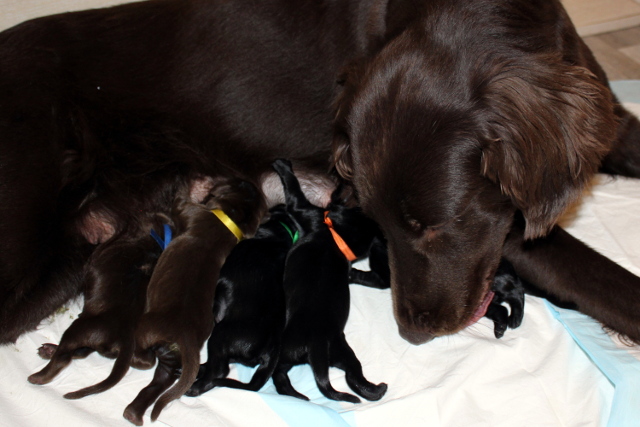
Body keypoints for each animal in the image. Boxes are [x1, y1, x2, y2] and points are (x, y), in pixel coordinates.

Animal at [122, 176, 264, 424]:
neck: (229, 218)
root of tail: (183, 336)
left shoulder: (187, 209)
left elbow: (177, 202)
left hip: (145, 329)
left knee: (144, 360)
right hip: (174, 357)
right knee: (162, 377)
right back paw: (133, 414)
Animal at [268, 160, 384, 404]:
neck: (337, 236)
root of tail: (316, 347)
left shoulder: (305, 210)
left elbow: (294, 191)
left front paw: (283, 166)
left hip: (285, 350)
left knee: (278, 376)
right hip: (341, 352)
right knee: (354, 376)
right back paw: (376, 389)